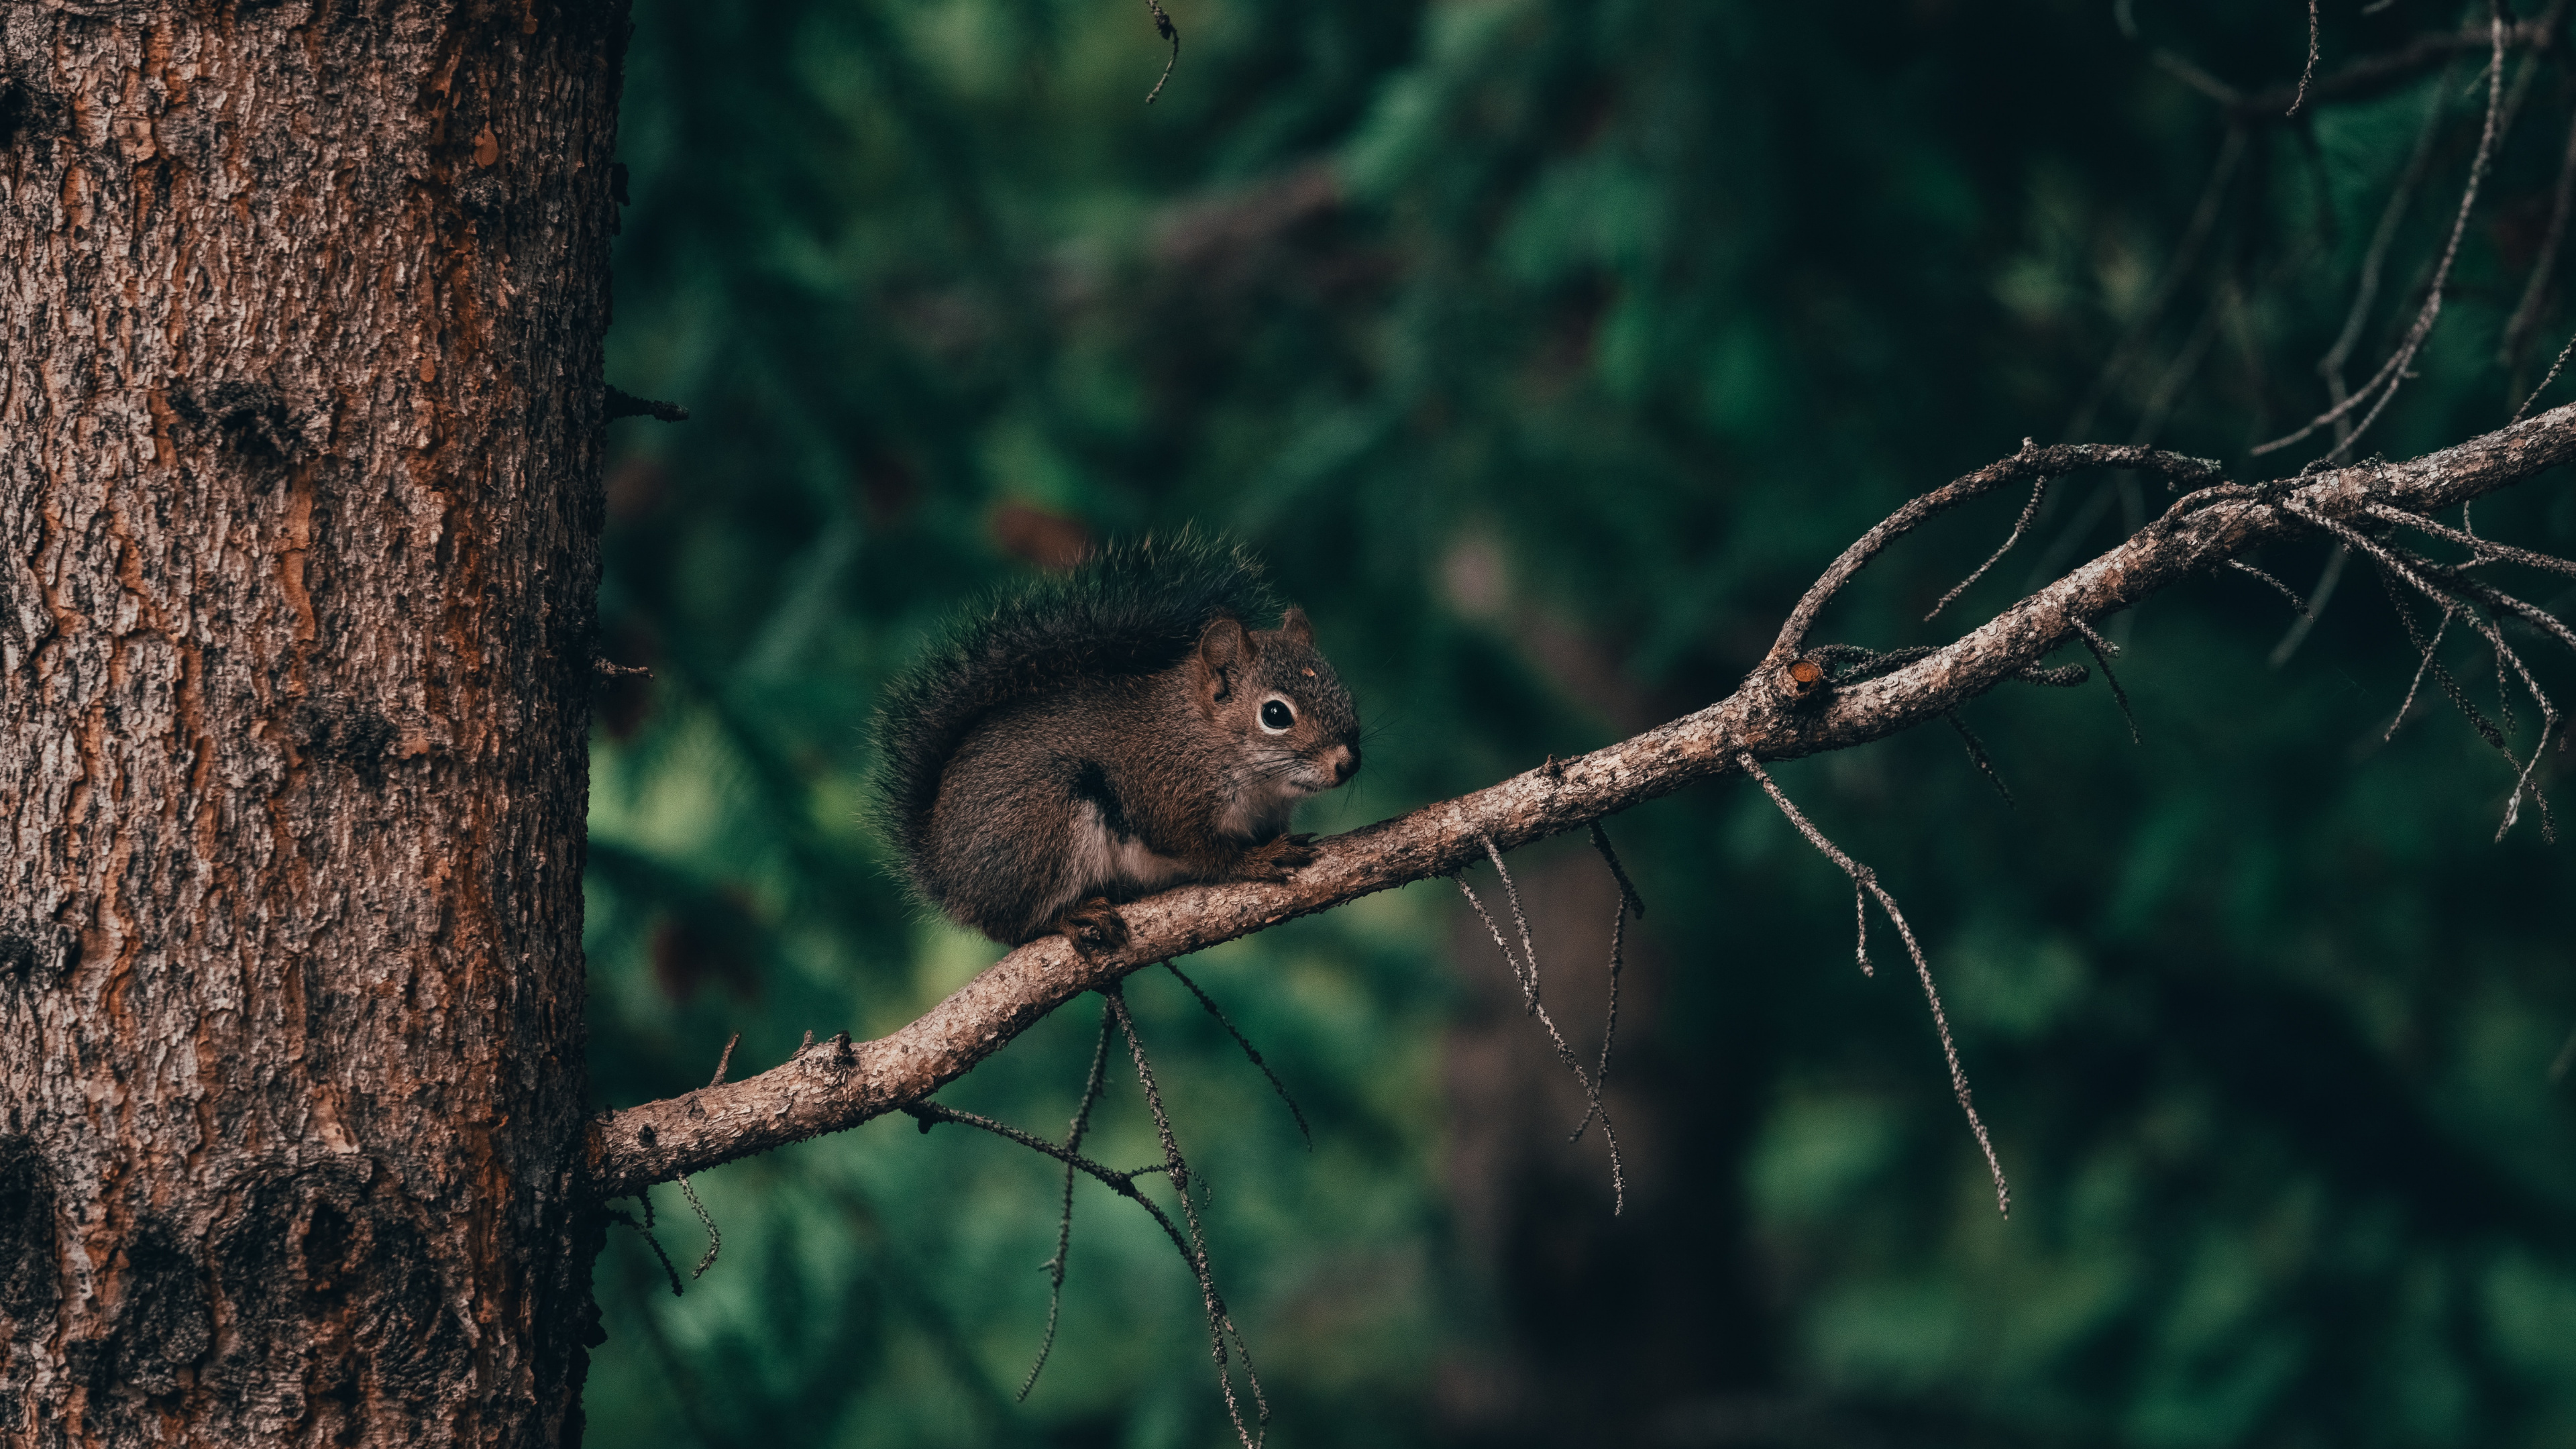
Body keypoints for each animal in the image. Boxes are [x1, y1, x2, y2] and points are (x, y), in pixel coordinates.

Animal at [870, 531, 1360, 949]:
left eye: (1346, 691)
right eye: (1275, 714)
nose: (1348, 763)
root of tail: (945, 874)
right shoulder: (1166, 796)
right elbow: (1203, 852)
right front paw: (1255, 861)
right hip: (1041, 828)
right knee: (1012, 926)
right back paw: (1070, 915)